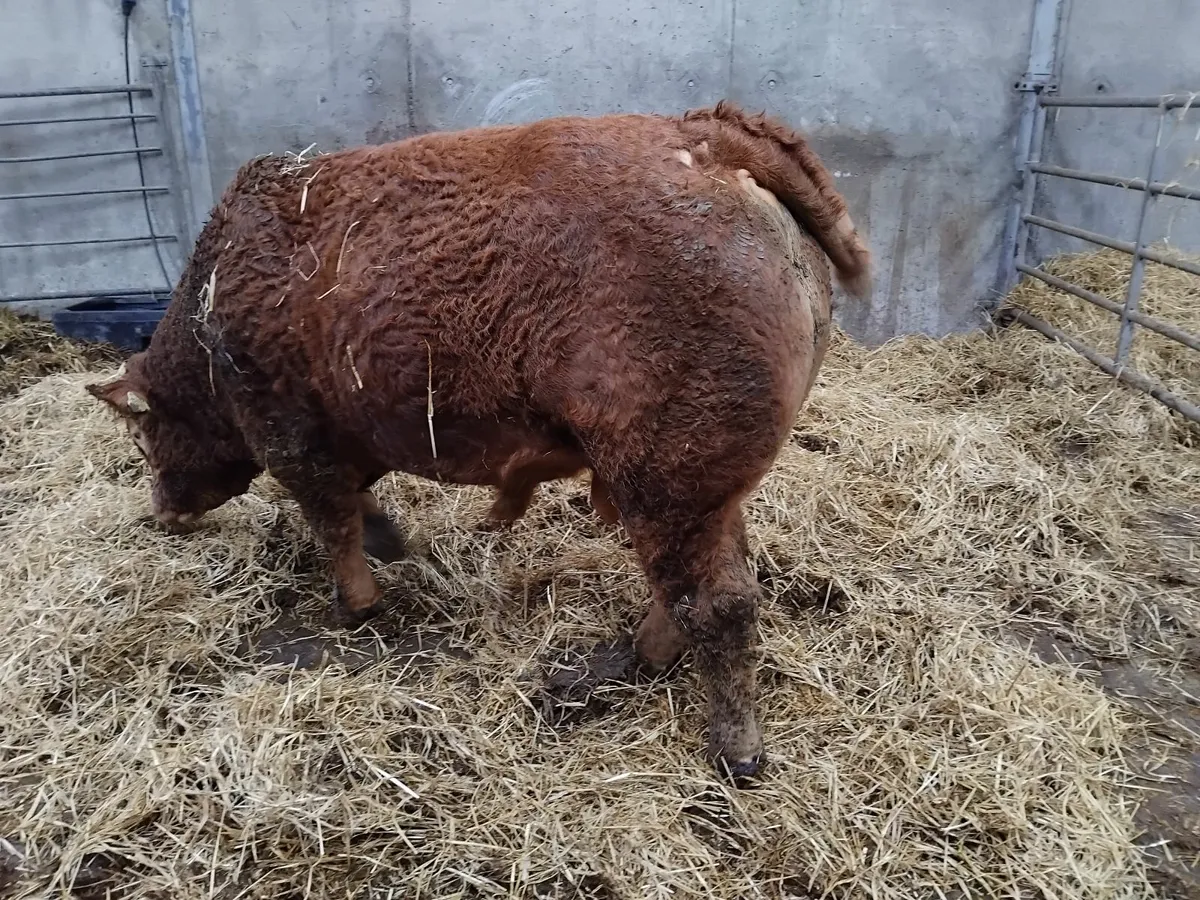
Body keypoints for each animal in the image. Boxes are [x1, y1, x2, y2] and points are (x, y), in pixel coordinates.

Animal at [87, 101, 871, 779]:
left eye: (144, 437)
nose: (162, 512)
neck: (211, 319)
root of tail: (709, 137)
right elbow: (357, 505)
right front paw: (393, 544)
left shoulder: (287, 432)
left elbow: (331, 520)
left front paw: (354, 606)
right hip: (707, 483)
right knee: (697, 586)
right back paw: (625, 664)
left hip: (672, 469)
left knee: (721, 602)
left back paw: (736, 753)